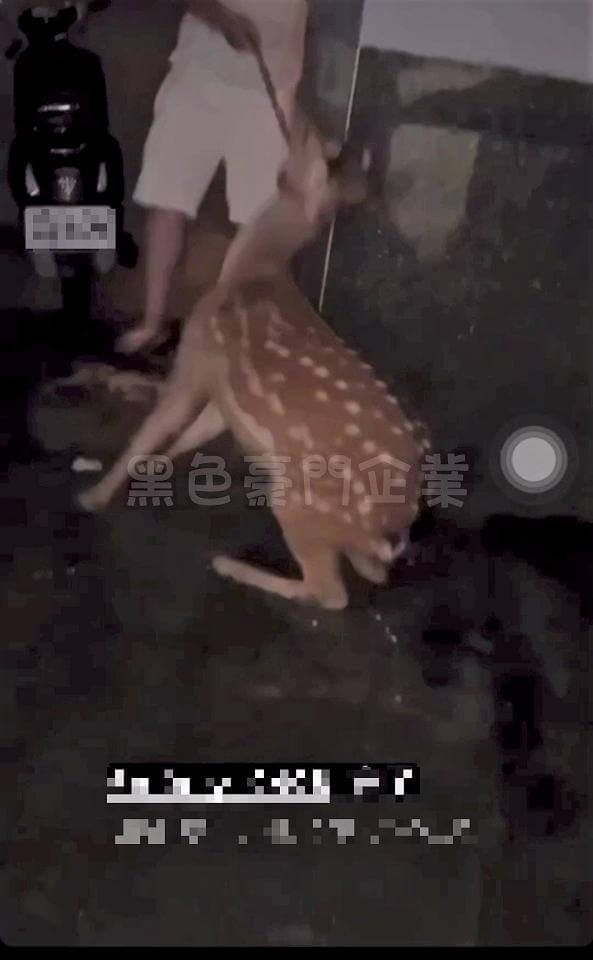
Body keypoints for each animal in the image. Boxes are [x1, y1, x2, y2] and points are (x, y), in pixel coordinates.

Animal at [77, 98, 431, 610]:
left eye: (309, 139)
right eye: (324, 143)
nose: (299, 109)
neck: (254, 268)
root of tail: (390, 530)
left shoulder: (198, 354)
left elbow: (153, 427)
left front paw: (93, 496)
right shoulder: (226, 391)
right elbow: (195, 432)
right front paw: (155, 468)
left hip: (298, 497)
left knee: (331, 594)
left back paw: (231, 565)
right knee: (365, 574)